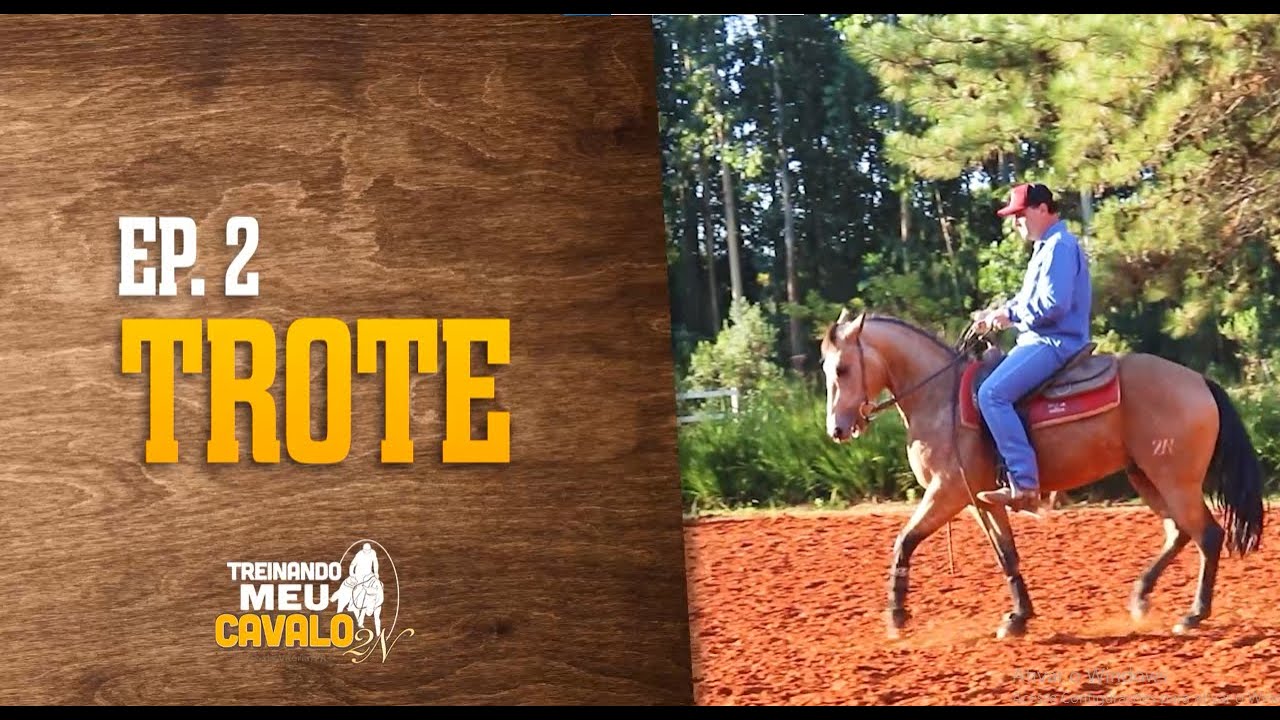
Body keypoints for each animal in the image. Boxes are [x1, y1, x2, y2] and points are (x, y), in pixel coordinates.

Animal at [819, 308, 1266, 640]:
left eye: (842, 369)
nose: (837, 429)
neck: (939, 397)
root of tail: (1200, 381)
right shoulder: (981, 500)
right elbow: (1006, 554)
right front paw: (1018, 618)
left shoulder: (947, 493)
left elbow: (904, 542)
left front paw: (896, 617)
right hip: (1146, 477)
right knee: (1178, 532)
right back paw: (1141, 597)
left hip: (1176, 480)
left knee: (1207, 535)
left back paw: (1193, 614)